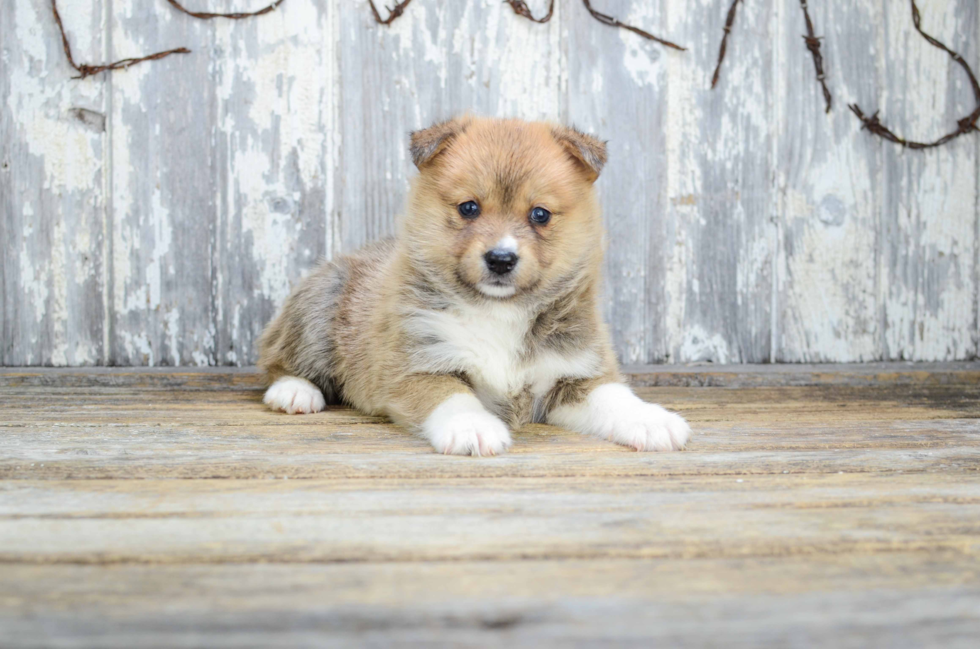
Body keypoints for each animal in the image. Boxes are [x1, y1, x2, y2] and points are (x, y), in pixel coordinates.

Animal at [258, 114, 688, 454]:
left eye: (540, 214)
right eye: (469, 208)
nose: (500, 258)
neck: (499, 311)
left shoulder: (576, 372)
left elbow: (614, 396)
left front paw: (653, 421)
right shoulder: (416, 366)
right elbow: (453, 397)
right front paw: (474, 429)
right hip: (319, 305)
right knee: (277, 359)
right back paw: (294, 392)